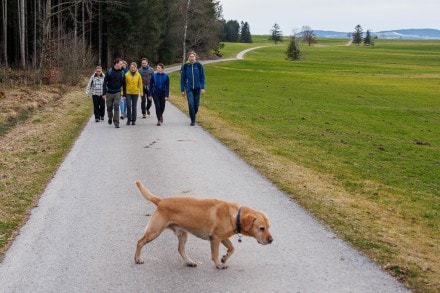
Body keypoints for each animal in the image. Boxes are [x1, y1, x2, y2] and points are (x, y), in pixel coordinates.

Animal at [134, 180, 272, 270]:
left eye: (268, 227)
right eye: (261, 228)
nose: (271, 240)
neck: (235, 215)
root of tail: (161, 201)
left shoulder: (223, 238)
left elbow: (232, 248)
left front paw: (224, 257)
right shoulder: (215, 238)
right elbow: (215, 254)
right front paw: (219, 264)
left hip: (183, 234)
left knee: (181, 250)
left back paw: (189, 262)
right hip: (154, 231)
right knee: (140, 242)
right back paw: (137, 258)